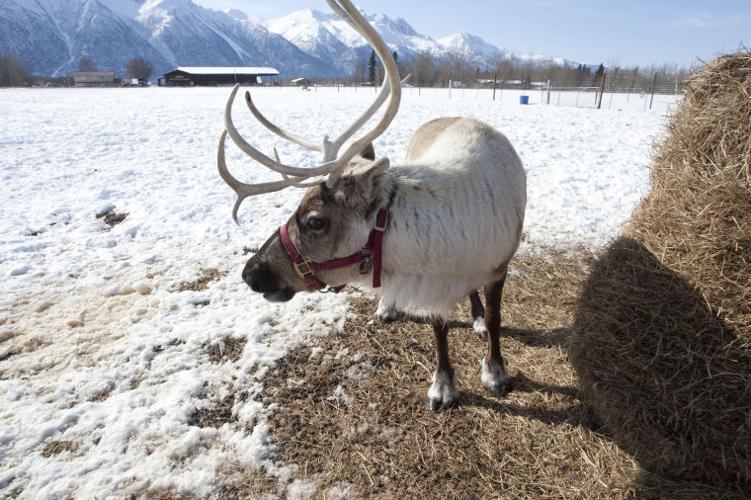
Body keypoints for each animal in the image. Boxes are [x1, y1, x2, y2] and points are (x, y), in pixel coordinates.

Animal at [217, 0, 527, 412]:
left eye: (315, 221)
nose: (251, 272)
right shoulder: (431, 286)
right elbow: (439, 328)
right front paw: (443, 384)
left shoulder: (498, 266)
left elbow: (494, 319)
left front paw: (495, 372)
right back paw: (387, 307)